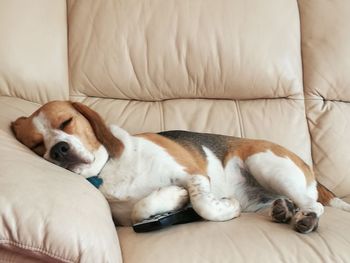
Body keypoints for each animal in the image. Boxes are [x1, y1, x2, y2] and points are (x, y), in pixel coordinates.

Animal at [11, 100, 350, 233]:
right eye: (37, 145)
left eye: (66, 122)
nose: (58, 150)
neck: (109, 170)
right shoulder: (127, 216)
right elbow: (140, 209)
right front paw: (174, 198)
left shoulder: (195, 175)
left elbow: (203, 204)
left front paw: (224, 206)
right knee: (293, 204)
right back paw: (284, 212)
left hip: (263, 161)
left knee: (315, 206)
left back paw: (304, 218)